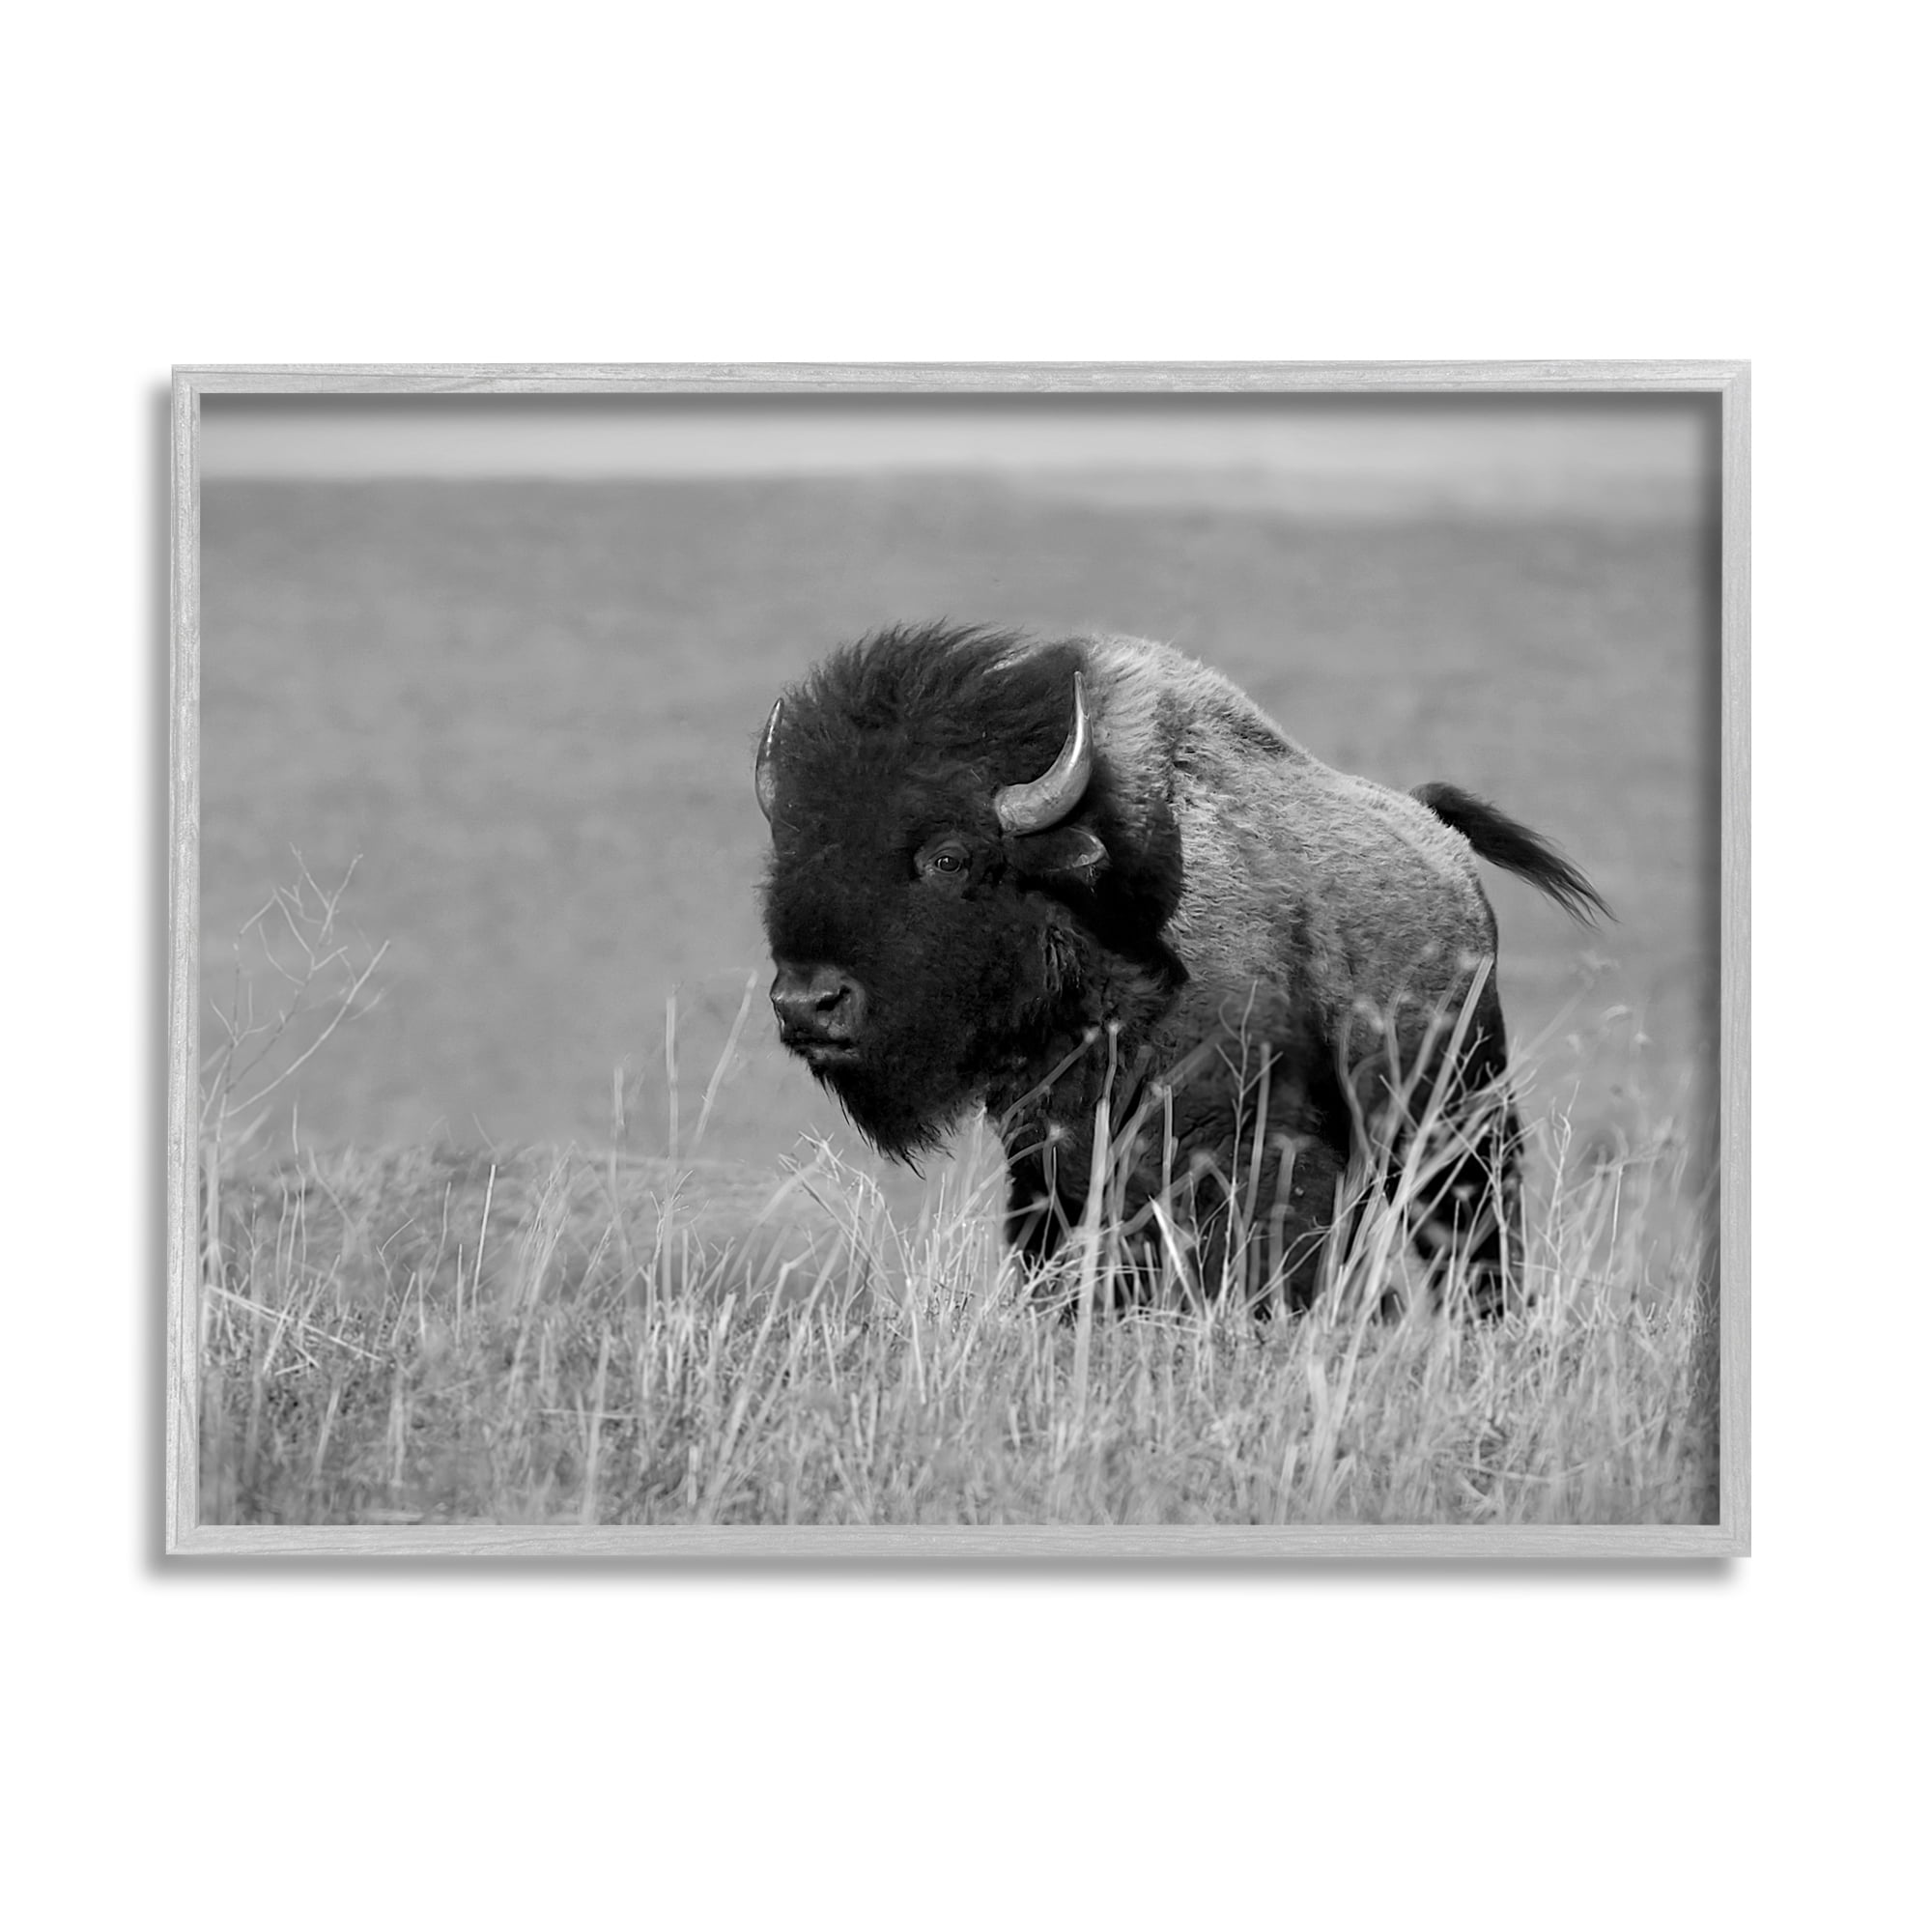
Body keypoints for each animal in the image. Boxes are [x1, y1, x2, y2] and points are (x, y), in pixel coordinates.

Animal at [755, 622, 1607, 1310]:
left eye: (948, 856)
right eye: (791, 853)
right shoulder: (1054, 1166)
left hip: (1462, 1125)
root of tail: (1445, 849)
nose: (807, 1002)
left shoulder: (1257, 1150)